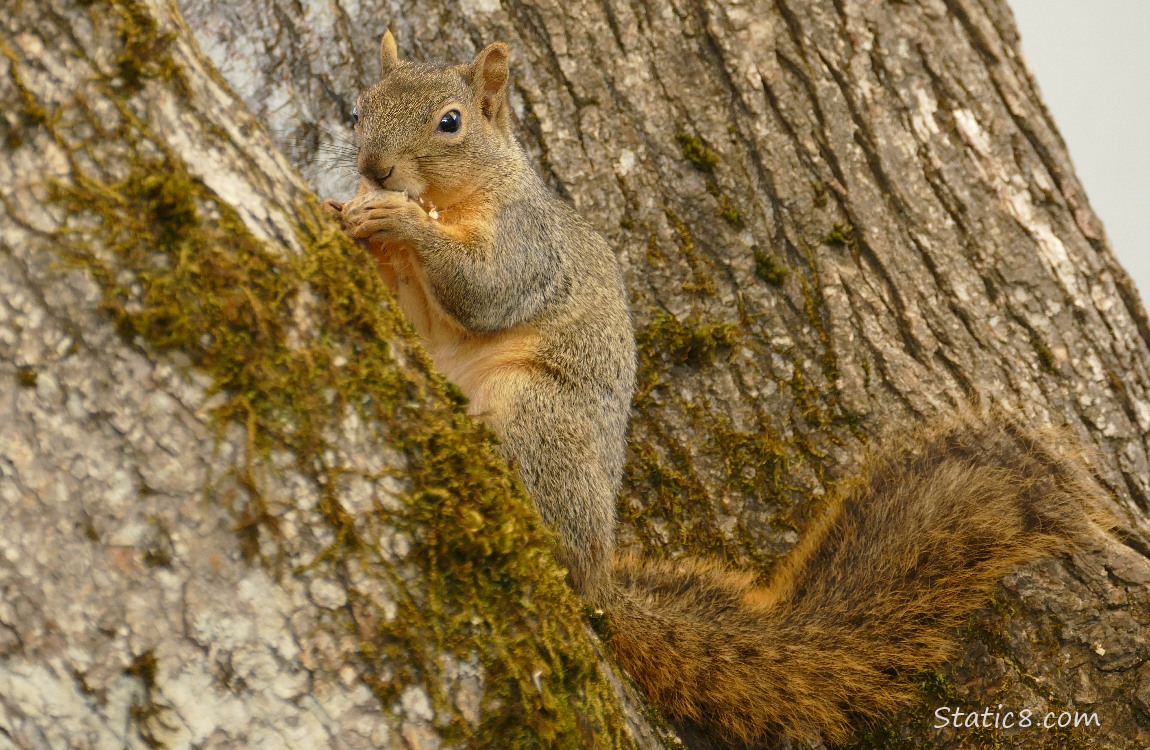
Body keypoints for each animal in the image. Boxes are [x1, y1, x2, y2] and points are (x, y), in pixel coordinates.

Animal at [322, 30, 1104, 750]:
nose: (373, 168)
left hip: (540, 414)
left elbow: (484, 290)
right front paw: (344, 215)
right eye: (360, 108)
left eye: (450, 122)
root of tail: (599, 576)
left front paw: (395, 219)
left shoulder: (529, 245)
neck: (451, 200)